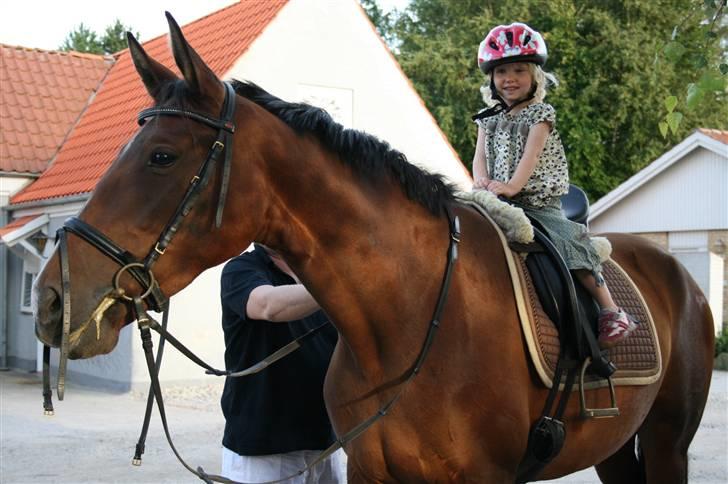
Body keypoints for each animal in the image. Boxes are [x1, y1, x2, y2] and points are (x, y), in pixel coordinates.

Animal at [31, 13, 712, 482]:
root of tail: (677, 273)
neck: (412, 319)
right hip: (617, 449)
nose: (52, 300)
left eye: (161, 157)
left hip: (668, 444)